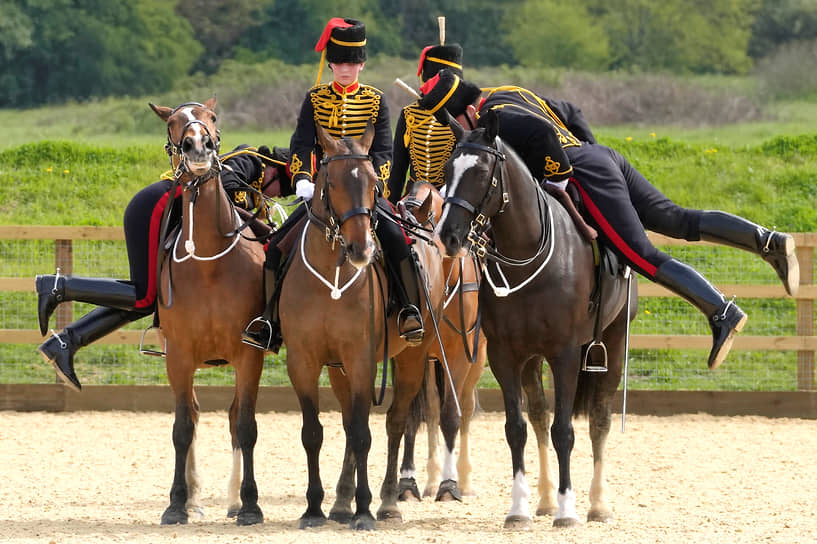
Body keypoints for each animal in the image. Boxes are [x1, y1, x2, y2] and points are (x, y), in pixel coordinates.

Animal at [148, 100, 266, 524]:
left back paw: (233, 500)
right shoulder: (179, 357)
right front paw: (176, 502)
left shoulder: (249, 354)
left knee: (233, 418)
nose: (197, 145)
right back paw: (194, 498)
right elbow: (183, 427)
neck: (211, 263)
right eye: (172, 122)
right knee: (196, 416)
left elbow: (245, 426)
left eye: (212, 119)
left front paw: (250, 503)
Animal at [278, 123, 446, 532]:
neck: (332, 276)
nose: (362, 249)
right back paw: (341, 502)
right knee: (348, 421)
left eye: (373, 184)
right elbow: (315, 433)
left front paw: (365, 509)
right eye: (332, 183)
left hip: (411, 357)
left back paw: (387, 501)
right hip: (340, 369)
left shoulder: (361, 359)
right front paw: (314, 507)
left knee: (394, 423)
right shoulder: (304, 362)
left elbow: (364, 434)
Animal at [396, 183, 484, 502]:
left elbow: (451, 415)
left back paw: (464, 479)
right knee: (432, 408)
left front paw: (450, 484)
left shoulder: (459, 355)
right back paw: (432, 478)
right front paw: (407, 482)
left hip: (476, 358)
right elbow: (412, 415)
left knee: (465, 407)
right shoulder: (409, 356)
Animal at [434, 110, 636, 528]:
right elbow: (518, 428)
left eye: (481, 171)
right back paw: (543, 500)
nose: (448, 234)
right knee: (540, 415)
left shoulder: (566, 354)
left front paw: (568, 509)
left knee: (599, 419)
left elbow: (565, 431)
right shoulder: (505, 356)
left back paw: (597, 504)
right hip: (531, 358)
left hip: (613, 340)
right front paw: (520, 508)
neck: (526, 253)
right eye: (447, 170)